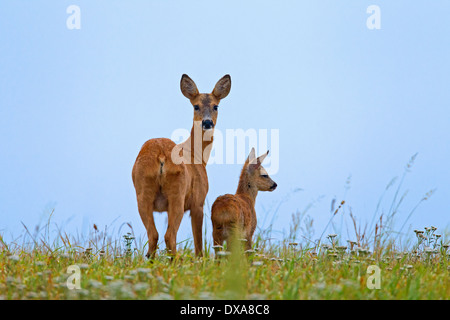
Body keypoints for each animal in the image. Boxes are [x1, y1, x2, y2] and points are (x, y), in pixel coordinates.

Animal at [132, 74, 232, 258]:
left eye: (216, 106)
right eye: (196, 106)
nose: (207, 123)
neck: (197, 156)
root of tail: (161, 155)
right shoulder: (198, 200)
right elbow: (199, 244)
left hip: (142, 192)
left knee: (153, 235)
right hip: (177, 193)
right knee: (169, 236)